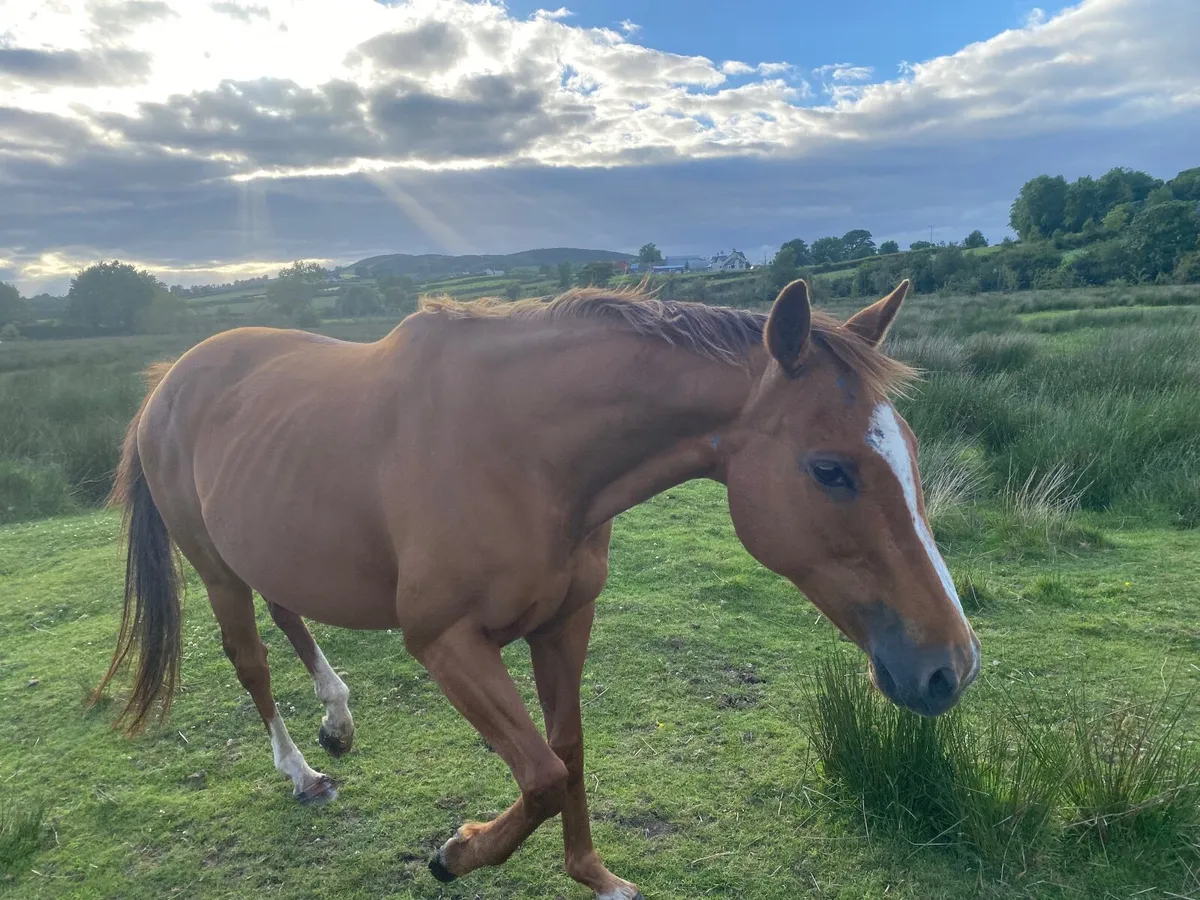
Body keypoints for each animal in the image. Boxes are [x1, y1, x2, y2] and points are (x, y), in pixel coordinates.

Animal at [93, 277, 979, 899]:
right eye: (829, 470)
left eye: (907, 447)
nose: (952, 667)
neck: (525, 452)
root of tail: (169, 380)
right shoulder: (447, 642)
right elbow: (544, 775)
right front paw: (456, 853)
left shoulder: (564, 622)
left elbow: (568, 750)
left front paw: (593, 873)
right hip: (215, 570)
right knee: (249, 659)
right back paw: (303, 773)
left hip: (269, 547)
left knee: (290, 612)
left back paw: (338, 718)